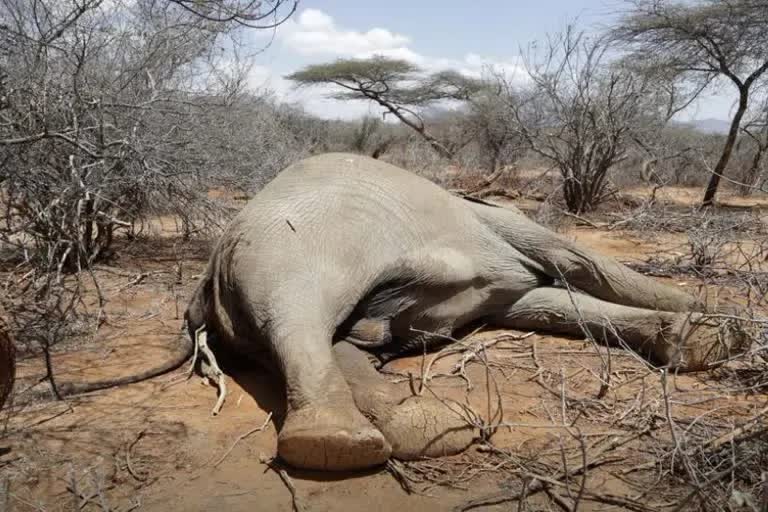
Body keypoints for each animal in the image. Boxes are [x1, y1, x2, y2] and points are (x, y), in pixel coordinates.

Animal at [184, 152, 752, 472]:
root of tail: (213, 266)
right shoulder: (506, 227)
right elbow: (577, 263)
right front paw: (719, 326)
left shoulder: (502, 279)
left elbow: (548, 306)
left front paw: (703, 337)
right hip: (292, 246)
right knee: (299, 317)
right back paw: (340, 444)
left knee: (323, 337)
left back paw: (422, 427)